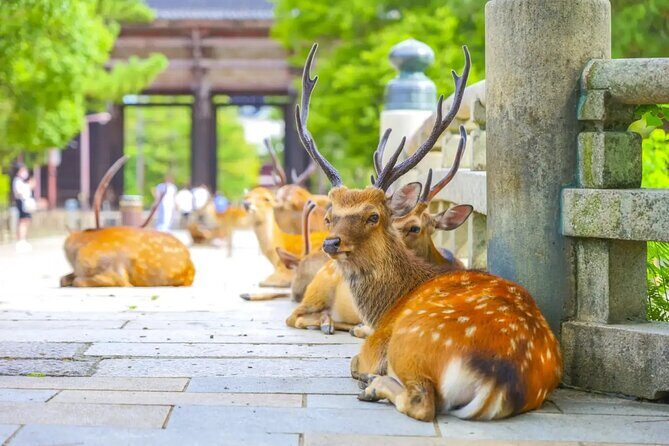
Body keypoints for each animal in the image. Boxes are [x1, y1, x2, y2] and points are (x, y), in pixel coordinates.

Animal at [293, 43, 562, 421]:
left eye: (374, 215)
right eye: (330, 215)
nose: (332, 243)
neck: (387, 305)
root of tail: (500, 378)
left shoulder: (375, 343)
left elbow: (353, 362)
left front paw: (367, 377)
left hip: (409, 341)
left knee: (421, 402)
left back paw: (374, 387)